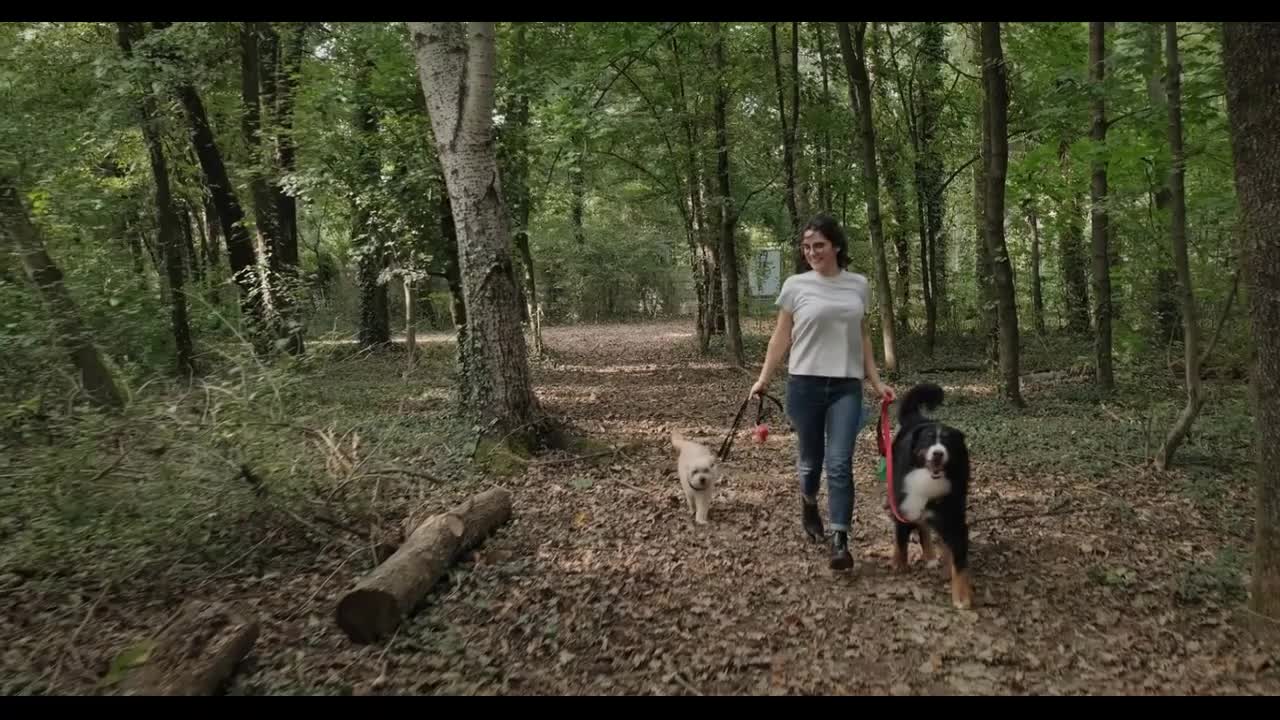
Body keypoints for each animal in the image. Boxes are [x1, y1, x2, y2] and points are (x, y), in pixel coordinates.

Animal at [890, 379, 967, 607]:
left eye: (948, 442)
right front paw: (900, 564)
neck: (928, 479)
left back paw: (934, 557)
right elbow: (901, 539)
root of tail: (919, 419)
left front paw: (961, 595)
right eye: (929, 440)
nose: (938, 453)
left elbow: (959, 559)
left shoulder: (954, 515)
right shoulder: (904, 505)